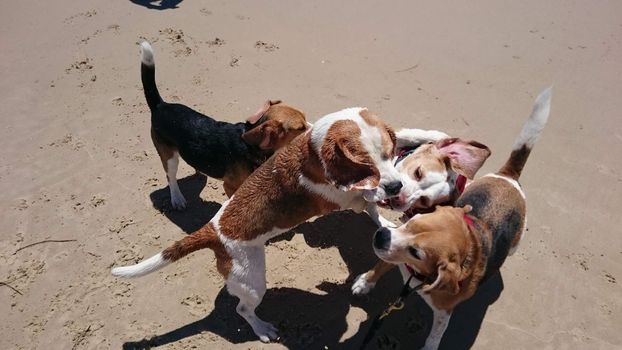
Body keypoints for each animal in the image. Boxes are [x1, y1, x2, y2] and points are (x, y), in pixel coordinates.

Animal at [112, 107, 414, 342]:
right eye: (365, 167)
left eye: (389, 154)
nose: (396, 186)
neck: (313, 150)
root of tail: (213, 230)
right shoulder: (345, 198)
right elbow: (366, 200)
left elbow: (374, 207)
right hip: (252, 281)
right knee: (243, 310)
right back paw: (262, 329)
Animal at [372, 88, 552, 350]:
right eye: (418, 173)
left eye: (424, 200)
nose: (400, 196)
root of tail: (509, 176)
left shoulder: (443, 310)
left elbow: (435, 335)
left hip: (515, 244)